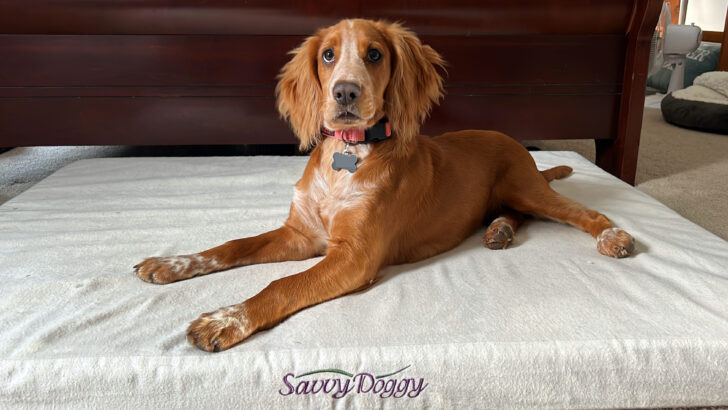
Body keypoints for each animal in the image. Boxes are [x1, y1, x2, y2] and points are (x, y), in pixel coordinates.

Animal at [134, 20, 636, 352]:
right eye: (327, 55)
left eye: (374, 54)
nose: (345, 93)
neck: (347, 159)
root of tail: (513, 141)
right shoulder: (301, 234)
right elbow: (231, 246)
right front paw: (170, 263)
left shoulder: (355, 256)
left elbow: (281, 284)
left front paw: (225, 319)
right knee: (516, 214)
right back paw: (499, 230)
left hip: (527, 188)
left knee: (581, 213)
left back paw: (613, 237)